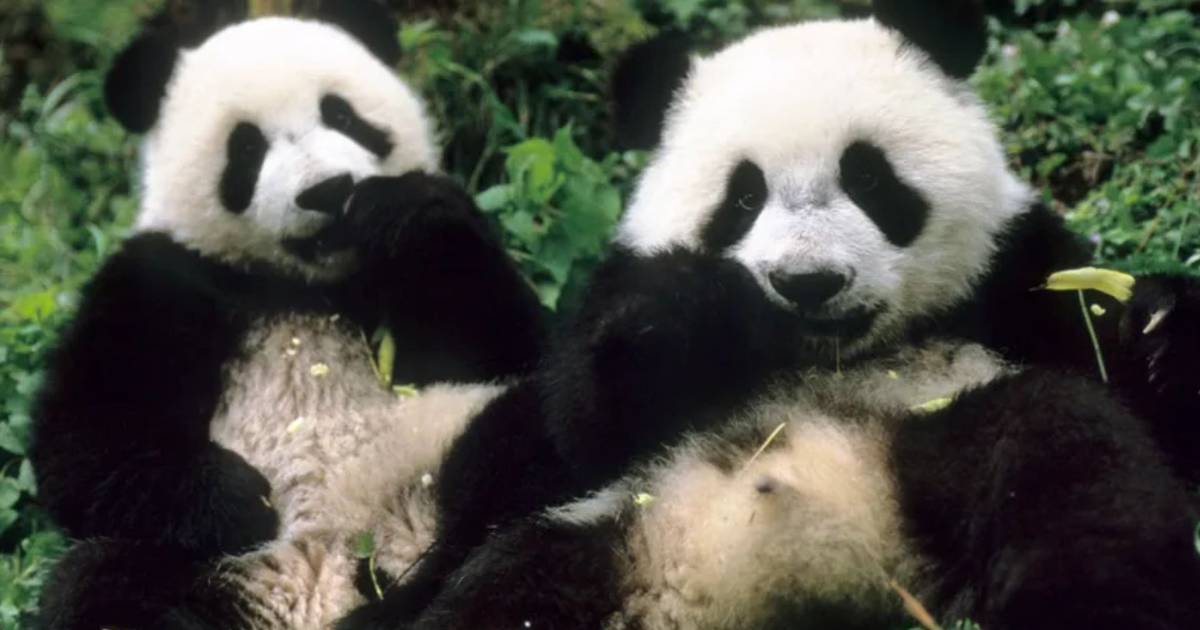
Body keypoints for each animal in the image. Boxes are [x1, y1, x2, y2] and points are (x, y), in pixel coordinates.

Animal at [30, 2, 543, 629]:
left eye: (342, 114)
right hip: (215, 571)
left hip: (434, 459)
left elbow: (510, 340)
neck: (303, 286)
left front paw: (407, 215)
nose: (328, 190)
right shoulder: (163, 279)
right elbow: (85, 438)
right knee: (100, 582)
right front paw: (241, 499)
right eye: (247, 148)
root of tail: (317, 592)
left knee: (522, 447)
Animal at [339, 1, 1200, 629]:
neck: (829, 353)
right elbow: (576, 421)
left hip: (937, 441)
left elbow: (1132, 394)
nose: (808, 282)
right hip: (605, 531)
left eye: (868, 176)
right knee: (504, 590)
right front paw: (689, 311)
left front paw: (1157, 324)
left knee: (1068, 465)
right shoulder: (613, 313)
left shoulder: (1012, 272)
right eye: (742, 197)